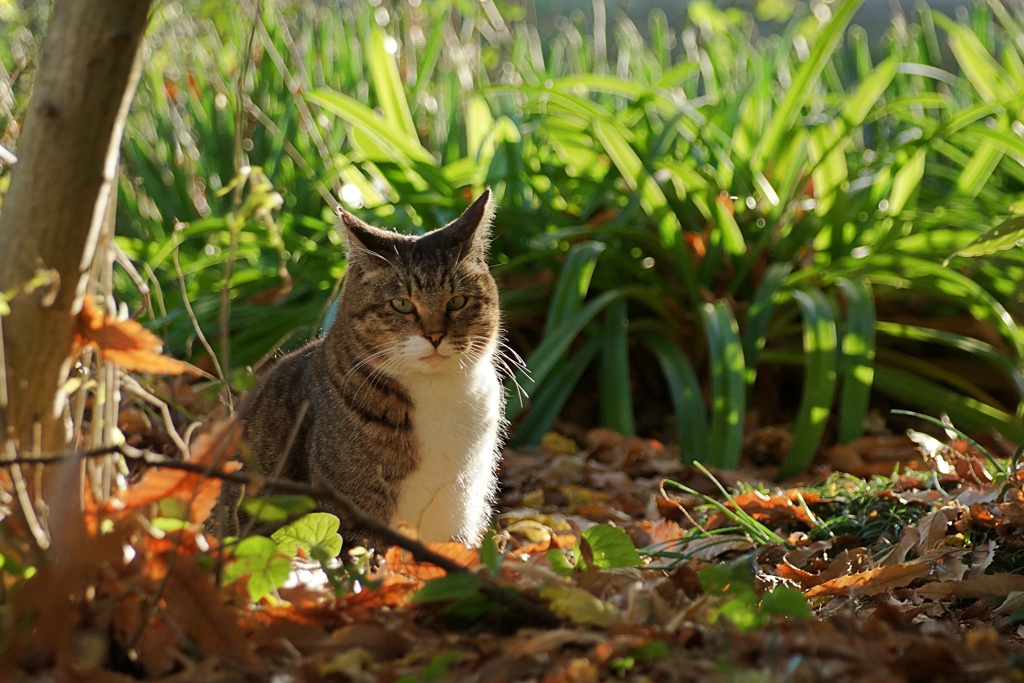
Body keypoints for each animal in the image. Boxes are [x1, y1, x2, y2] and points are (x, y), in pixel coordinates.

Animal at [232, 189, 503, 548]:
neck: (436, 394)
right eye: (402, 304)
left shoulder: (463, 507)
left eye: (457, 301)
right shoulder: (350, 511)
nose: (435, 335)